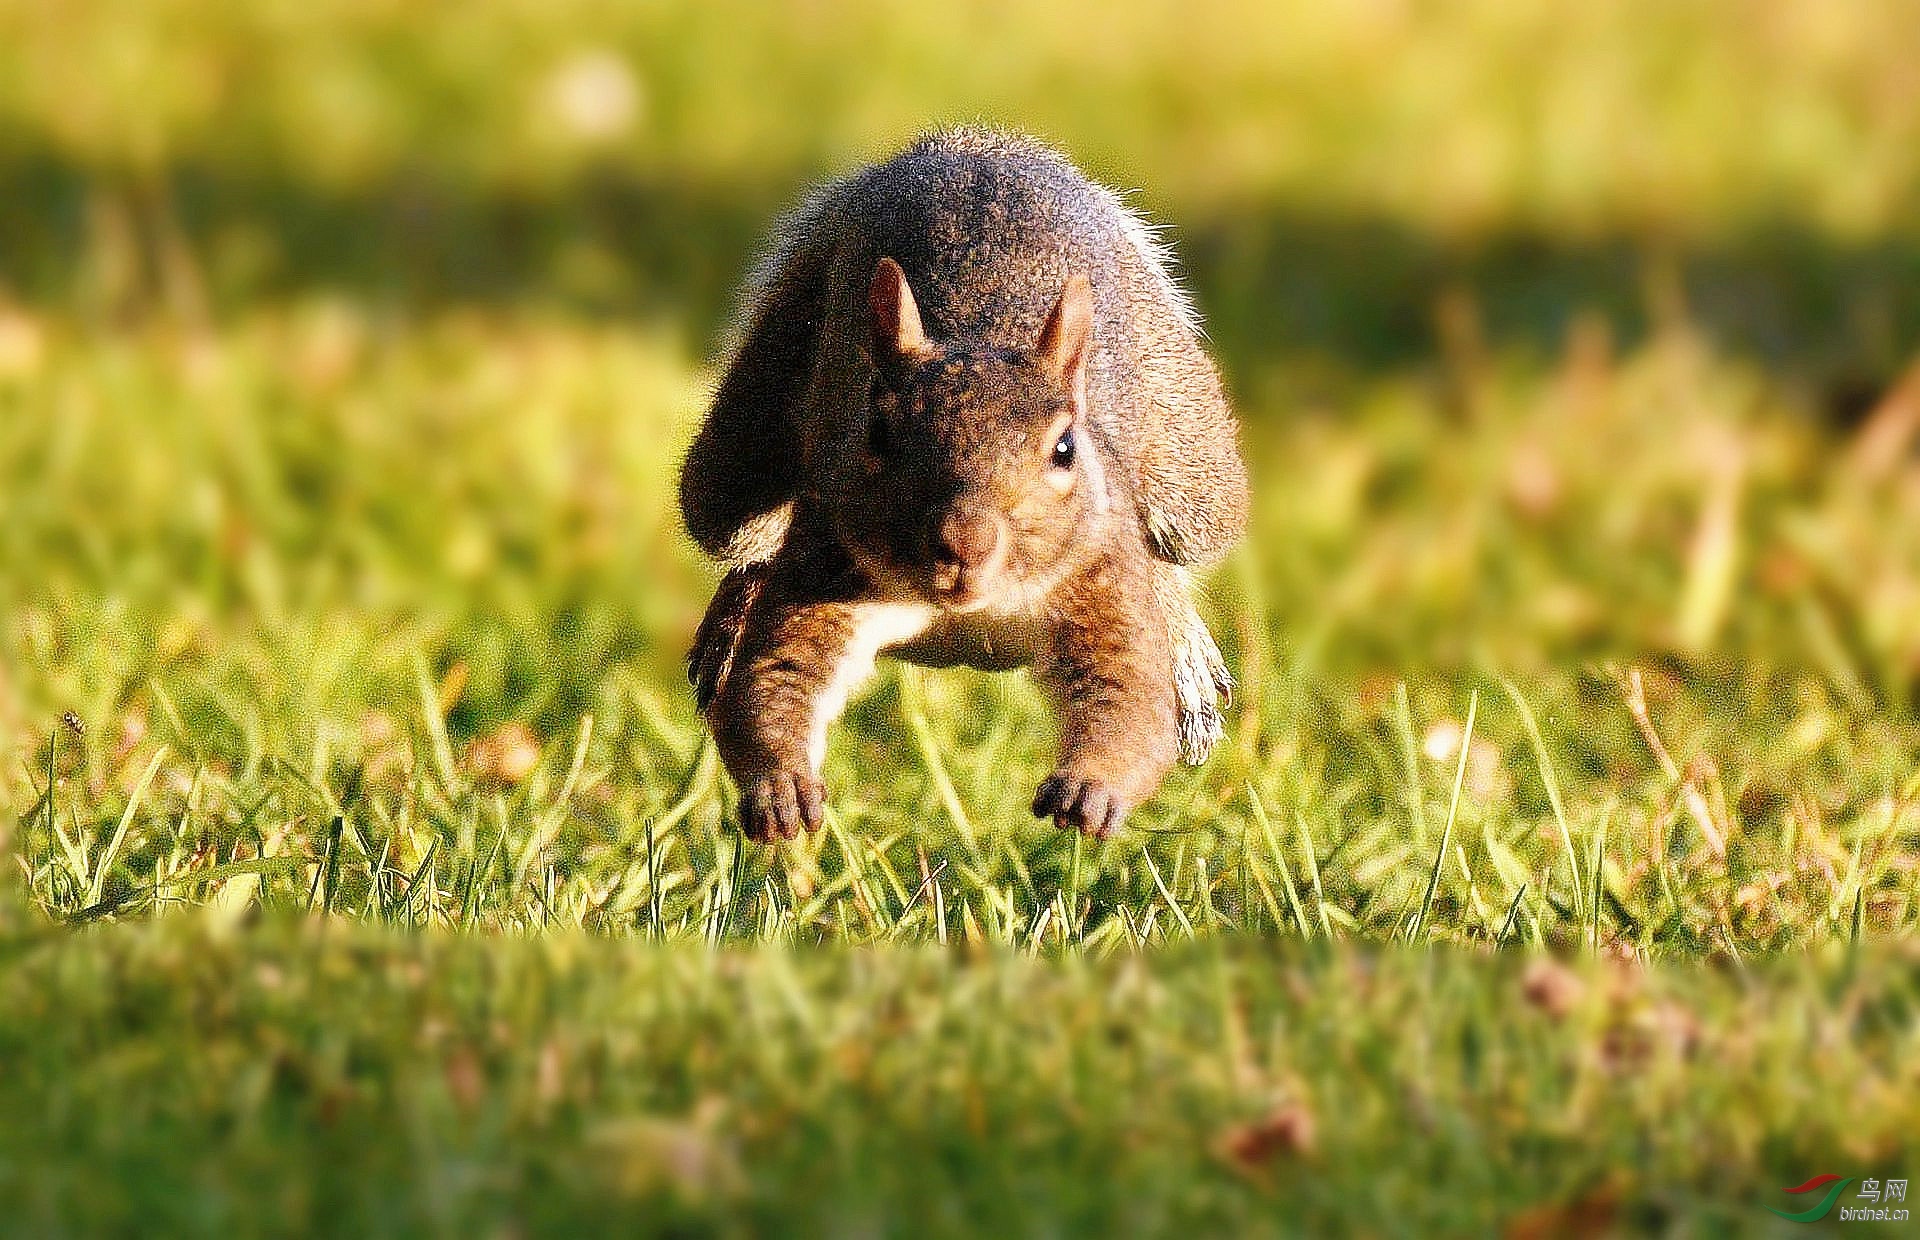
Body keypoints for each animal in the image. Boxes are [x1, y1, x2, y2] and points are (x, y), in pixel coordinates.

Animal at [675, 128, 1244, 844]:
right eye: (876, 433)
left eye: (1066, 447)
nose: (964, 544)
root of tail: (974, 147)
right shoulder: (823, 562)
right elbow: (773, 679)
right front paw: (781, 788)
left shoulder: (1100, 576)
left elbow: (1131, 700)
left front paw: (1091, 790)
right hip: (739, 449)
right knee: (744, 538)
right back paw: (730, 618)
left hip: (1192, 473)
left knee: (1178, 549)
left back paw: (1186, 647)